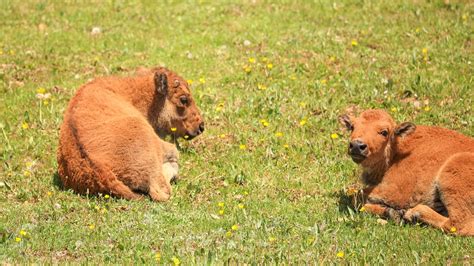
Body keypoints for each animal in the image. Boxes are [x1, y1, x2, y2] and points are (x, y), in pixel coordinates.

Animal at [340, 109, 474, 236]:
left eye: (384, 132)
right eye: (352, 127)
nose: (357, 145)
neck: (397, 151)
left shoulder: (394, 190)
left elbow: (357, 197)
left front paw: (395, 213)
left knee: (459, 224)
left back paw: (414, 213)